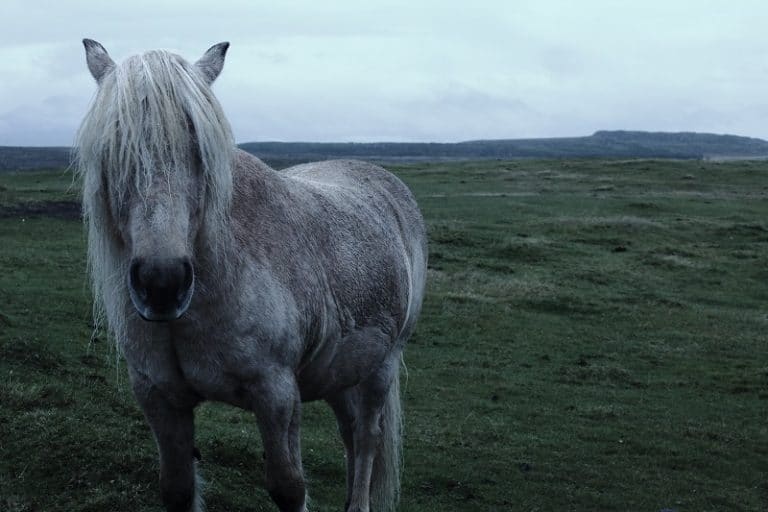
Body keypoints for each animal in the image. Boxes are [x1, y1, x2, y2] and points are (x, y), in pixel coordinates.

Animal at [75, 40, 428, 512]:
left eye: (198, 146)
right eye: (113, 146)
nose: (162, 283)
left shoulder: (275, 393)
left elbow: (288, 487)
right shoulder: (158, 397)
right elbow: (177, 489)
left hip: (382, 366)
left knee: (367, 437)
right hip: (341, 372)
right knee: (351, 436)